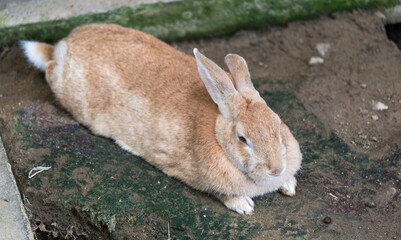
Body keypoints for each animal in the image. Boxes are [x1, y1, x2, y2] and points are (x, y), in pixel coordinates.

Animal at [19, 23, 300, 214]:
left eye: (278, 126)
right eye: (242, 138)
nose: (277, 169)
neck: (217, 130)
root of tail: (61, 47)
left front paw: (289, 185)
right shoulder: (205, 180)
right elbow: (223, 194)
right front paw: (244, 206)